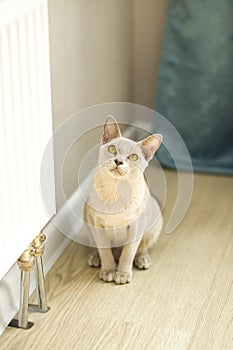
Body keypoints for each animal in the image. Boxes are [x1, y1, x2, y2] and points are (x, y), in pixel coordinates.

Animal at [84, 115, 164, 284]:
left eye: (133, 157)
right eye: (112, 149)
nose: (118, 161)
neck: (116, 191)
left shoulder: (135, 226)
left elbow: (128, 253)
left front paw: (122, 274)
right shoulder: (97, 224)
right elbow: (105, 251)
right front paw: (108, 271)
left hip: (155, 220)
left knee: (142, 248)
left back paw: (143, 260)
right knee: (96, 246)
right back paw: (95, 259)